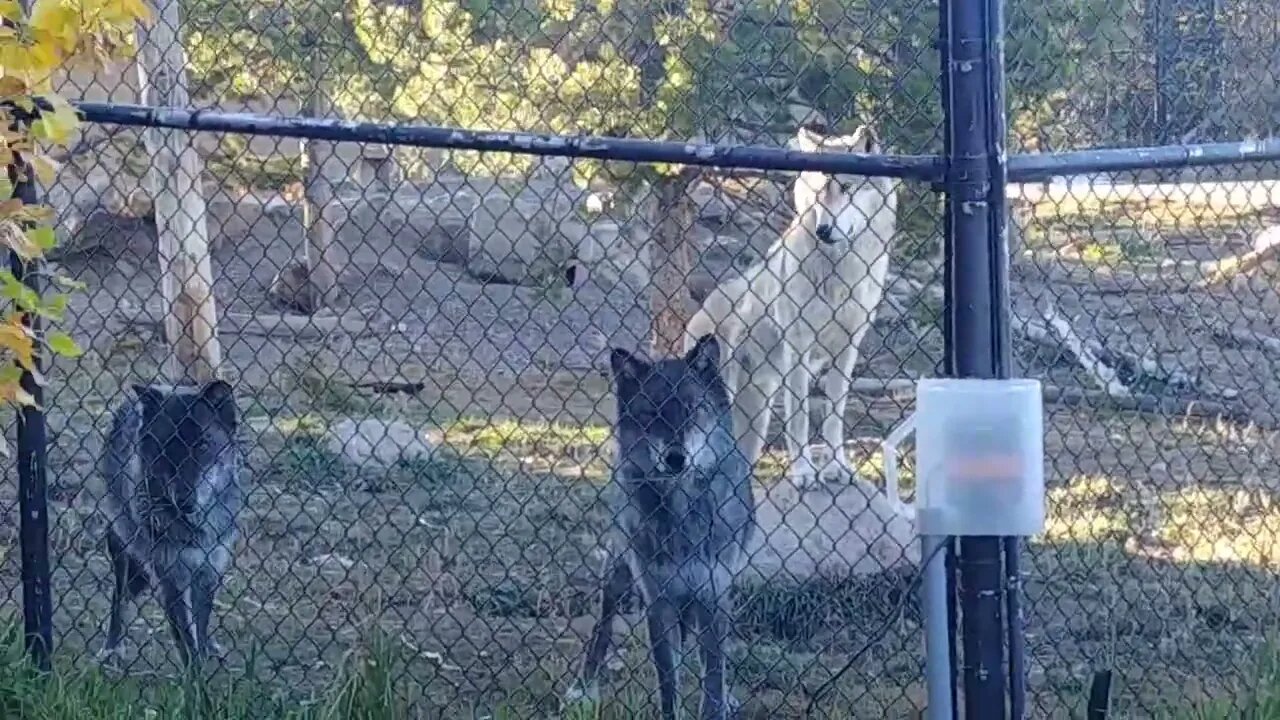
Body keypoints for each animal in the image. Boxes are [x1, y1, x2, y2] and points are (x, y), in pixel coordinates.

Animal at [96, 379, 243, 666]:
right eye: (166, 448)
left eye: (202, 445)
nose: (185, 501)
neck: (195, 529)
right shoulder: (171, 580)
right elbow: (186, 640)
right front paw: (195, 676)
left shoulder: (208, 571)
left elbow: (200, 626)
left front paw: (205, 654)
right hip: (124, 552)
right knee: (120, 597)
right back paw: (111, 649)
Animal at [568, 335, 747, 717]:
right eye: (652, 413)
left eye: (693, 409)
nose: (675, 458)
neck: (681, 515)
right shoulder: (658, 602)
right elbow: (669, 683)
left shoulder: (714, 596)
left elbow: (713, 675)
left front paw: (717, 705)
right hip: (618, 570)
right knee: (604, 621)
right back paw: (583, 687)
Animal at [680, 124, 901, 486]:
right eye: (817, 192)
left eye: (845, 187)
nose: (823, 229)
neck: (841, 271)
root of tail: (699, 312)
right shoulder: (798, 348)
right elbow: (799, 417)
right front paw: (803, 472)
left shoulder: (848, 349)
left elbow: (834, 415)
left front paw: (837, 467)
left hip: (755, 420)